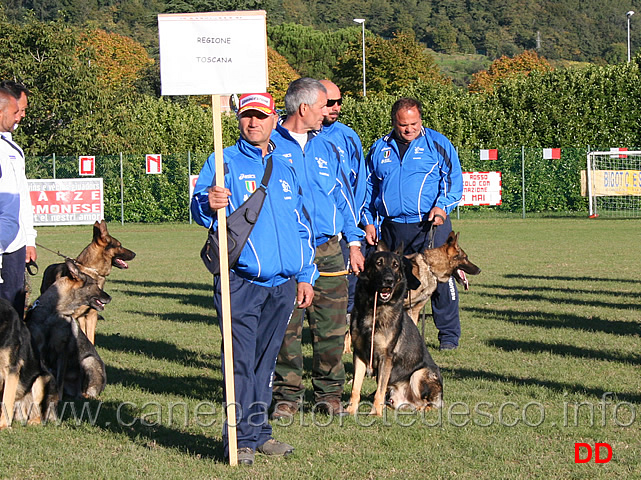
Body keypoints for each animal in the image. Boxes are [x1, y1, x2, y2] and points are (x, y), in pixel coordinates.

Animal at [26, 260, 110, 400]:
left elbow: (59, 380)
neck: (54, 312)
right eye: (94, 284)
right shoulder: (39, 348)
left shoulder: (62, 351)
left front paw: (57, 398)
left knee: (86, 392)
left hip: (87, 361)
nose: (110, 298)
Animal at [348, 244, 442, 416]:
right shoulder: (360, 355)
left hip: (419, 374)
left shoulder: (385, 358)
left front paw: (375, 413)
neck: (375, 309)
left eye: (396, 265)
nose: (389, 280)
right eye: (378, 263)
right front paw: (350, 410)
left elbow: (379, 390)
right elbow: (355, 387)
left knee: (428, 404)